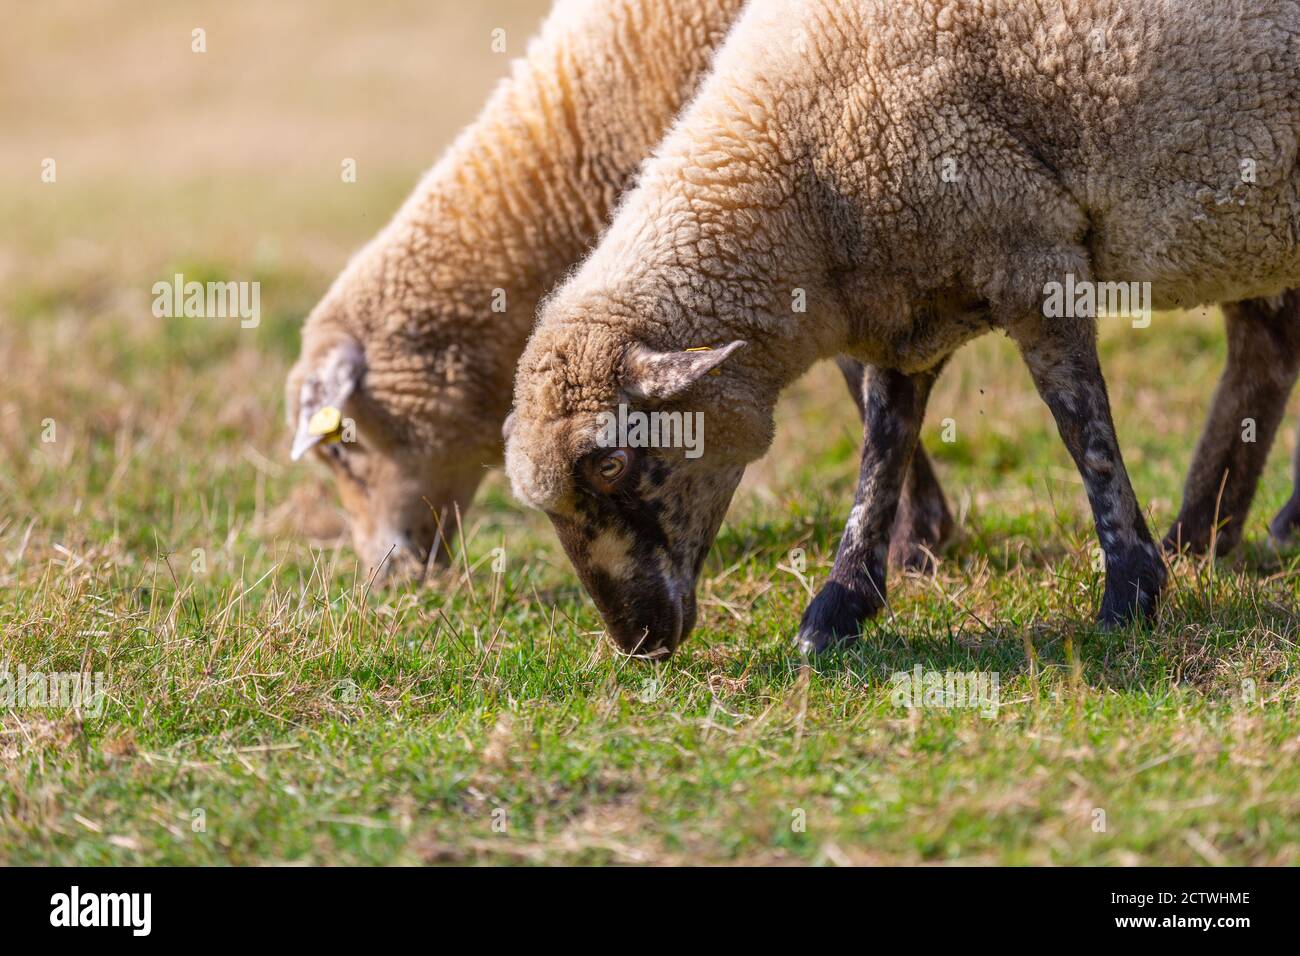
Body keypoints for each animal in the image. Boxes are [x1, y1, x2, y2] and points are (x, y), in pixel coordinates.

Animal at [503, 0, 1300, 656]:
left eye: (611, 462)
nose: (637, 642)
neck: (802, 188)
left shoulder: (1029, 252)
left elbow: (1084, 431)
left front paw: (1130, 590)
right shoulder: (905, 298)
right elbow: (884, 440)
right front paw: (840, 604)